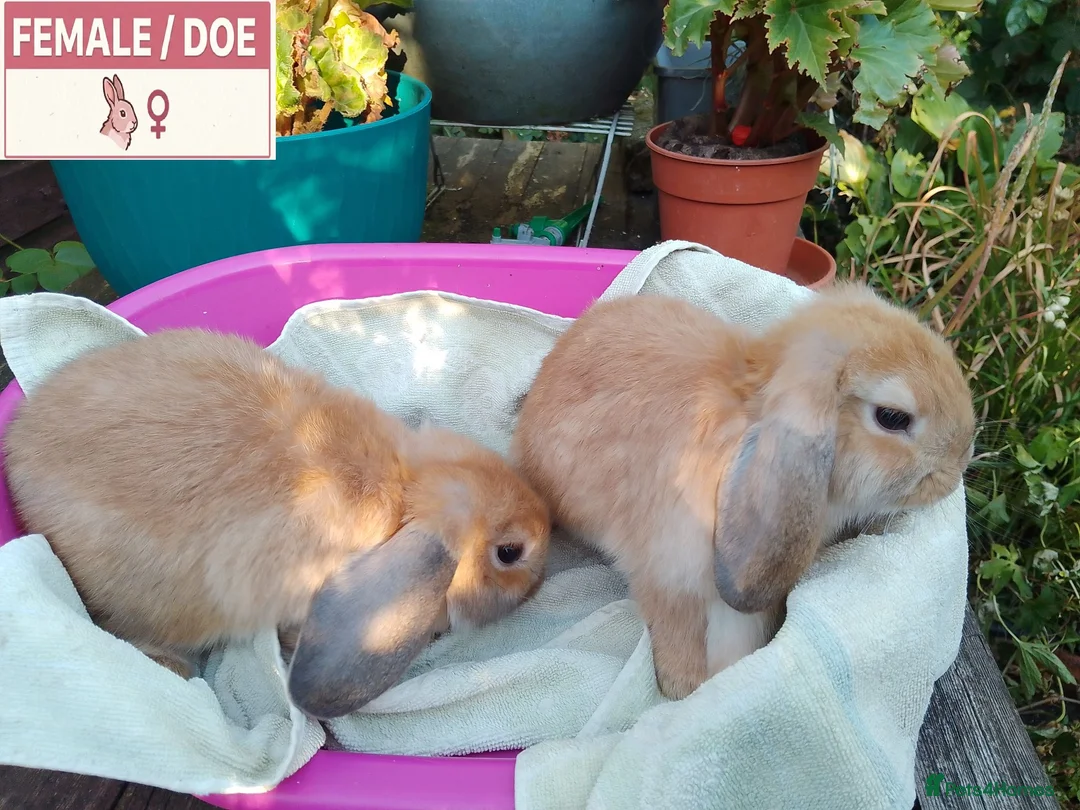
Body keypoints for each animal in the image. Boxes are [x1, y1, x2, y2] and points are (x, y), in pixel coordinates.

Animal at [510, 283, 975, 700]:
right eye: (892, 417)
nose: (957, 469)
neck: (749, 414)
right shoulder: (669, 571)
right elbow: (677, 628)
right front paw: (683, 689)